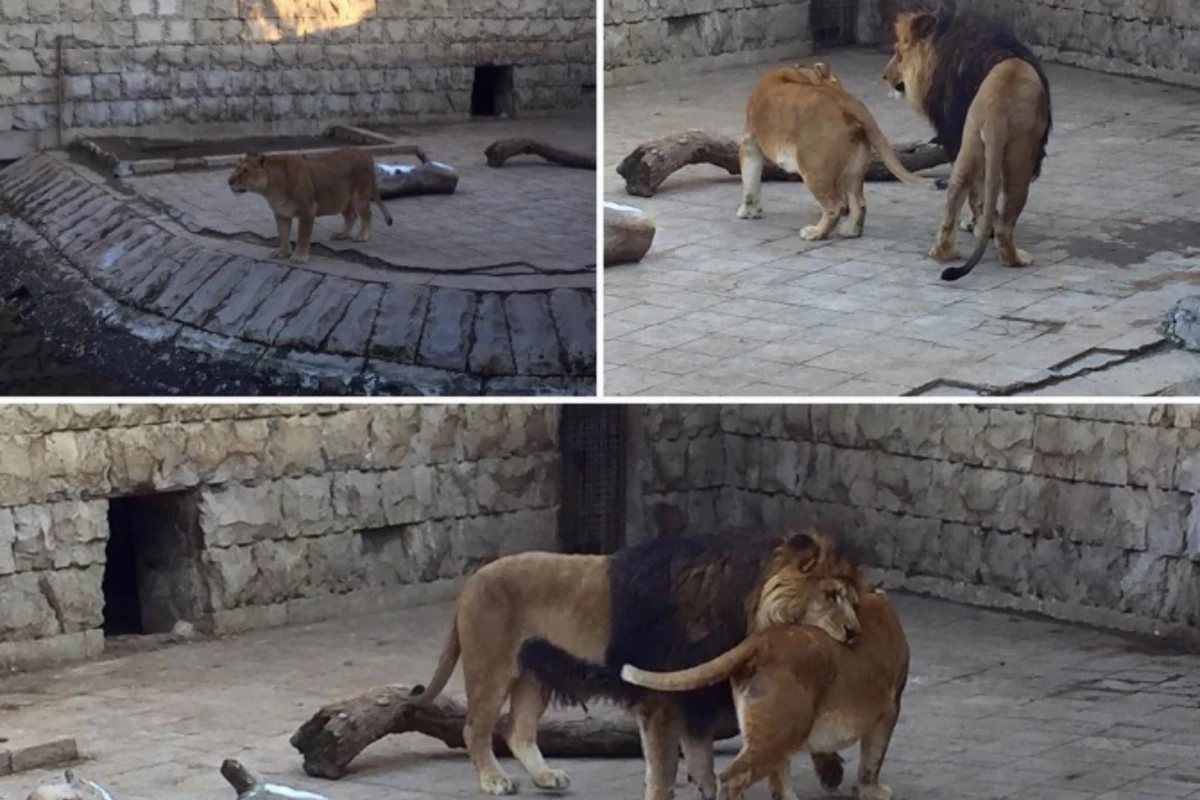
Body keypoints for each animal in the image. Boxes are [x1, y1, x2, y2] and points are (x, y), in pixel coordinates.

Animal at [226, 146, 391, 266]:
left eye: (245, 171)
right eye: (236, 168)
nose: (229, 181)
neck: (270, 188)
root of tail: (365, 152)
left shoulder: (308, 210)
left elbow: (303, 235)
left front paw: (299, 256)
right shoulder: (281, 213)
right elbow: (283, 234)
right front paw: (282, 252)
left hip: (359, 197)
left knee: (367, 215)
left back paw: (362, 236)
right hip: (340, 200)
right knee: (351, 215)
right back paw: (340, 234)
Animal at [410, 532, 864, 800]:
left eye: (854, 598)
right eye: (830, 595)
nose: (856, 633)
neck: (743, 606)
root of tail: (472, 580)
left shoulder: (697, 696)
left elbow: (701, 758)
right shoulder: (660, 698)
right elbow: (664, 768)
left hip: (535, 675)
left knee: (517, 731)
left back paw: (546, 777)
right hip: (493, 667)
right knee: (475, 728)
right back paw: (493, 780)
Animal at [734, 62, 940, 241]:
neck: (804, 73)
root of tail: (845, 100)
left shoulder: (749, 141)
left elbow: (750, 179)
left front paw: (747, 212)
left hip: (813, 169)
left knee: (835, 206)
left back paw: (815, 233)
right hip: (854, 167)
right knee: (859, 203)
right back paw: (850, 231)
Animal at [883, 7, 1051, 278]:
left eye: (898, 53)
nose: (884, 76)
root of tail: (998, 106)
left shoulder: (955, 137)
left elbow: (976, 193)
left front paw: (977, 224)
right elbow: (982, 195)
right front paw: (981, 225)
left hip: (970, 142)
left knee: (956, 192)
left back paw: (945, 252)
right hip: (1020, 158)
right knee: (1004, 223)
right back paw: (1015, 256)